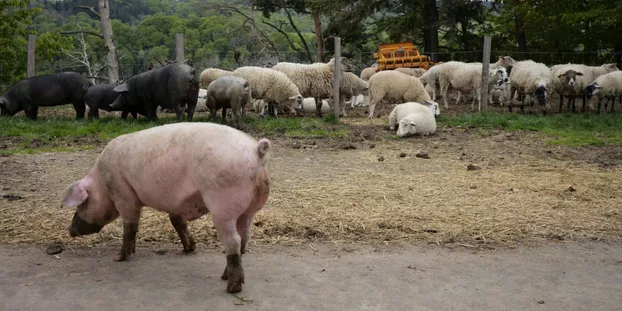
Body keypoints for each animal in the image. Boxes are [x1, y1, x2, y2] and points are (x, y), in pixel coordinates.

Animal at [60, 123, 270, 294]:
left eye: (82, 203)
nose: (70, 230)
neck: (101, 184)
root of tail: (256, 151)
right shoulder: (174, 202)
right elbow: (176, 221)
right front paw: (188, 249)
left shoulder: (123, 194)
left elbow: (129, 226)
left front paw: (119, 258)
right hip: (250, 209)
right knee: (244, 237)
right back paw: (225, 276)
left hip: (222, 205)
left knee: (233, 241)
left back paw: (231, 287)